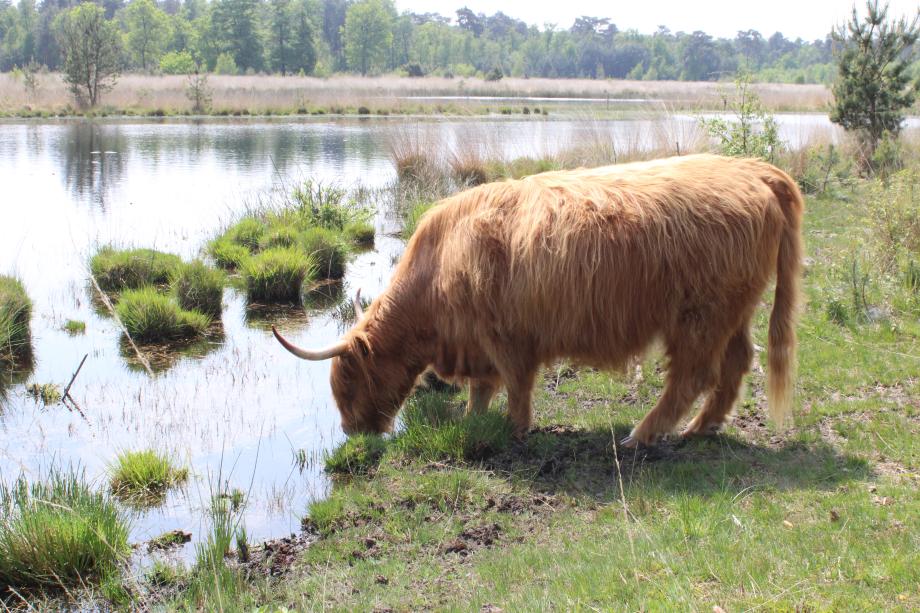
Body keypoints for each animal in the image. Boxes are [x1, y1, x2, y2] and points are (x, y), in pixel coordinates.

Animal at [270, 154, 800, 444]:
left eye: (346, 383)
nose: (351, 431)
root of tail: (756, 171)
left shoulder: (507, 336)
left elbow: (516, 385)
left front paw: (516, 429)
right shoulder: (479, 343)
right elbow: (482, 389)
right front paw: (474, 420)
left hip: (698, 315)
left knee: (693, 375)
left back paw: (643, 434)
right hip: (733, 311)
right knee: (737, 362)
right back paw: (701, 428)